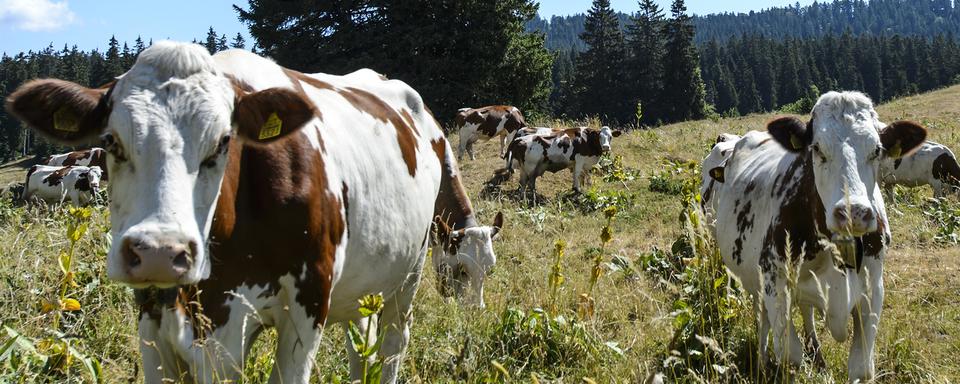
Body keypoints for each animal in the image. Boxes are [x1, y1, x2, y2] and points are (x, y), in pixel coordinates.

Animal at [4, 41, 462, 384]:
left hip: (410, 271)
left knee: (392, 345)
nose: (159, 253)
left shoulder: (307, 305)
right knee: (360, 343)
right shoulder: (156, 319)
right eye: (111, 140)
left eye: (224, 141)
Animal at [708, 91, 928, 380]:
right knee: (763, 317)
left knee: (807, 310)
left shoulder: (873, 290)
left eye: (876, 150)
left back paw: (817, 353)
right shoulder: (775, 282)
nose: (853, 212)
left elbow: (861, 366)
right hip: (754, 280)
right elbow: (790, 355)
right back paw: (763, 361)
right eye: (817, 149)